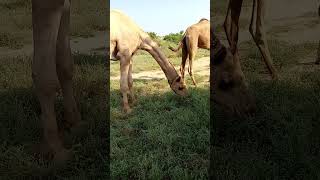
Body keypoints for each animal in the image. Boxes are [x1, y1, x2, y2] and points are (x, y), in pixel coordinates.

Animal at [31, 0, 81, 162]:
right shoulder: (46, 3)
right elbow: (44, 76)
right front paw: (55, 150)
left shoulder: (64, 4)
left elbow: (64, 64)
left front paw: (74, 122)